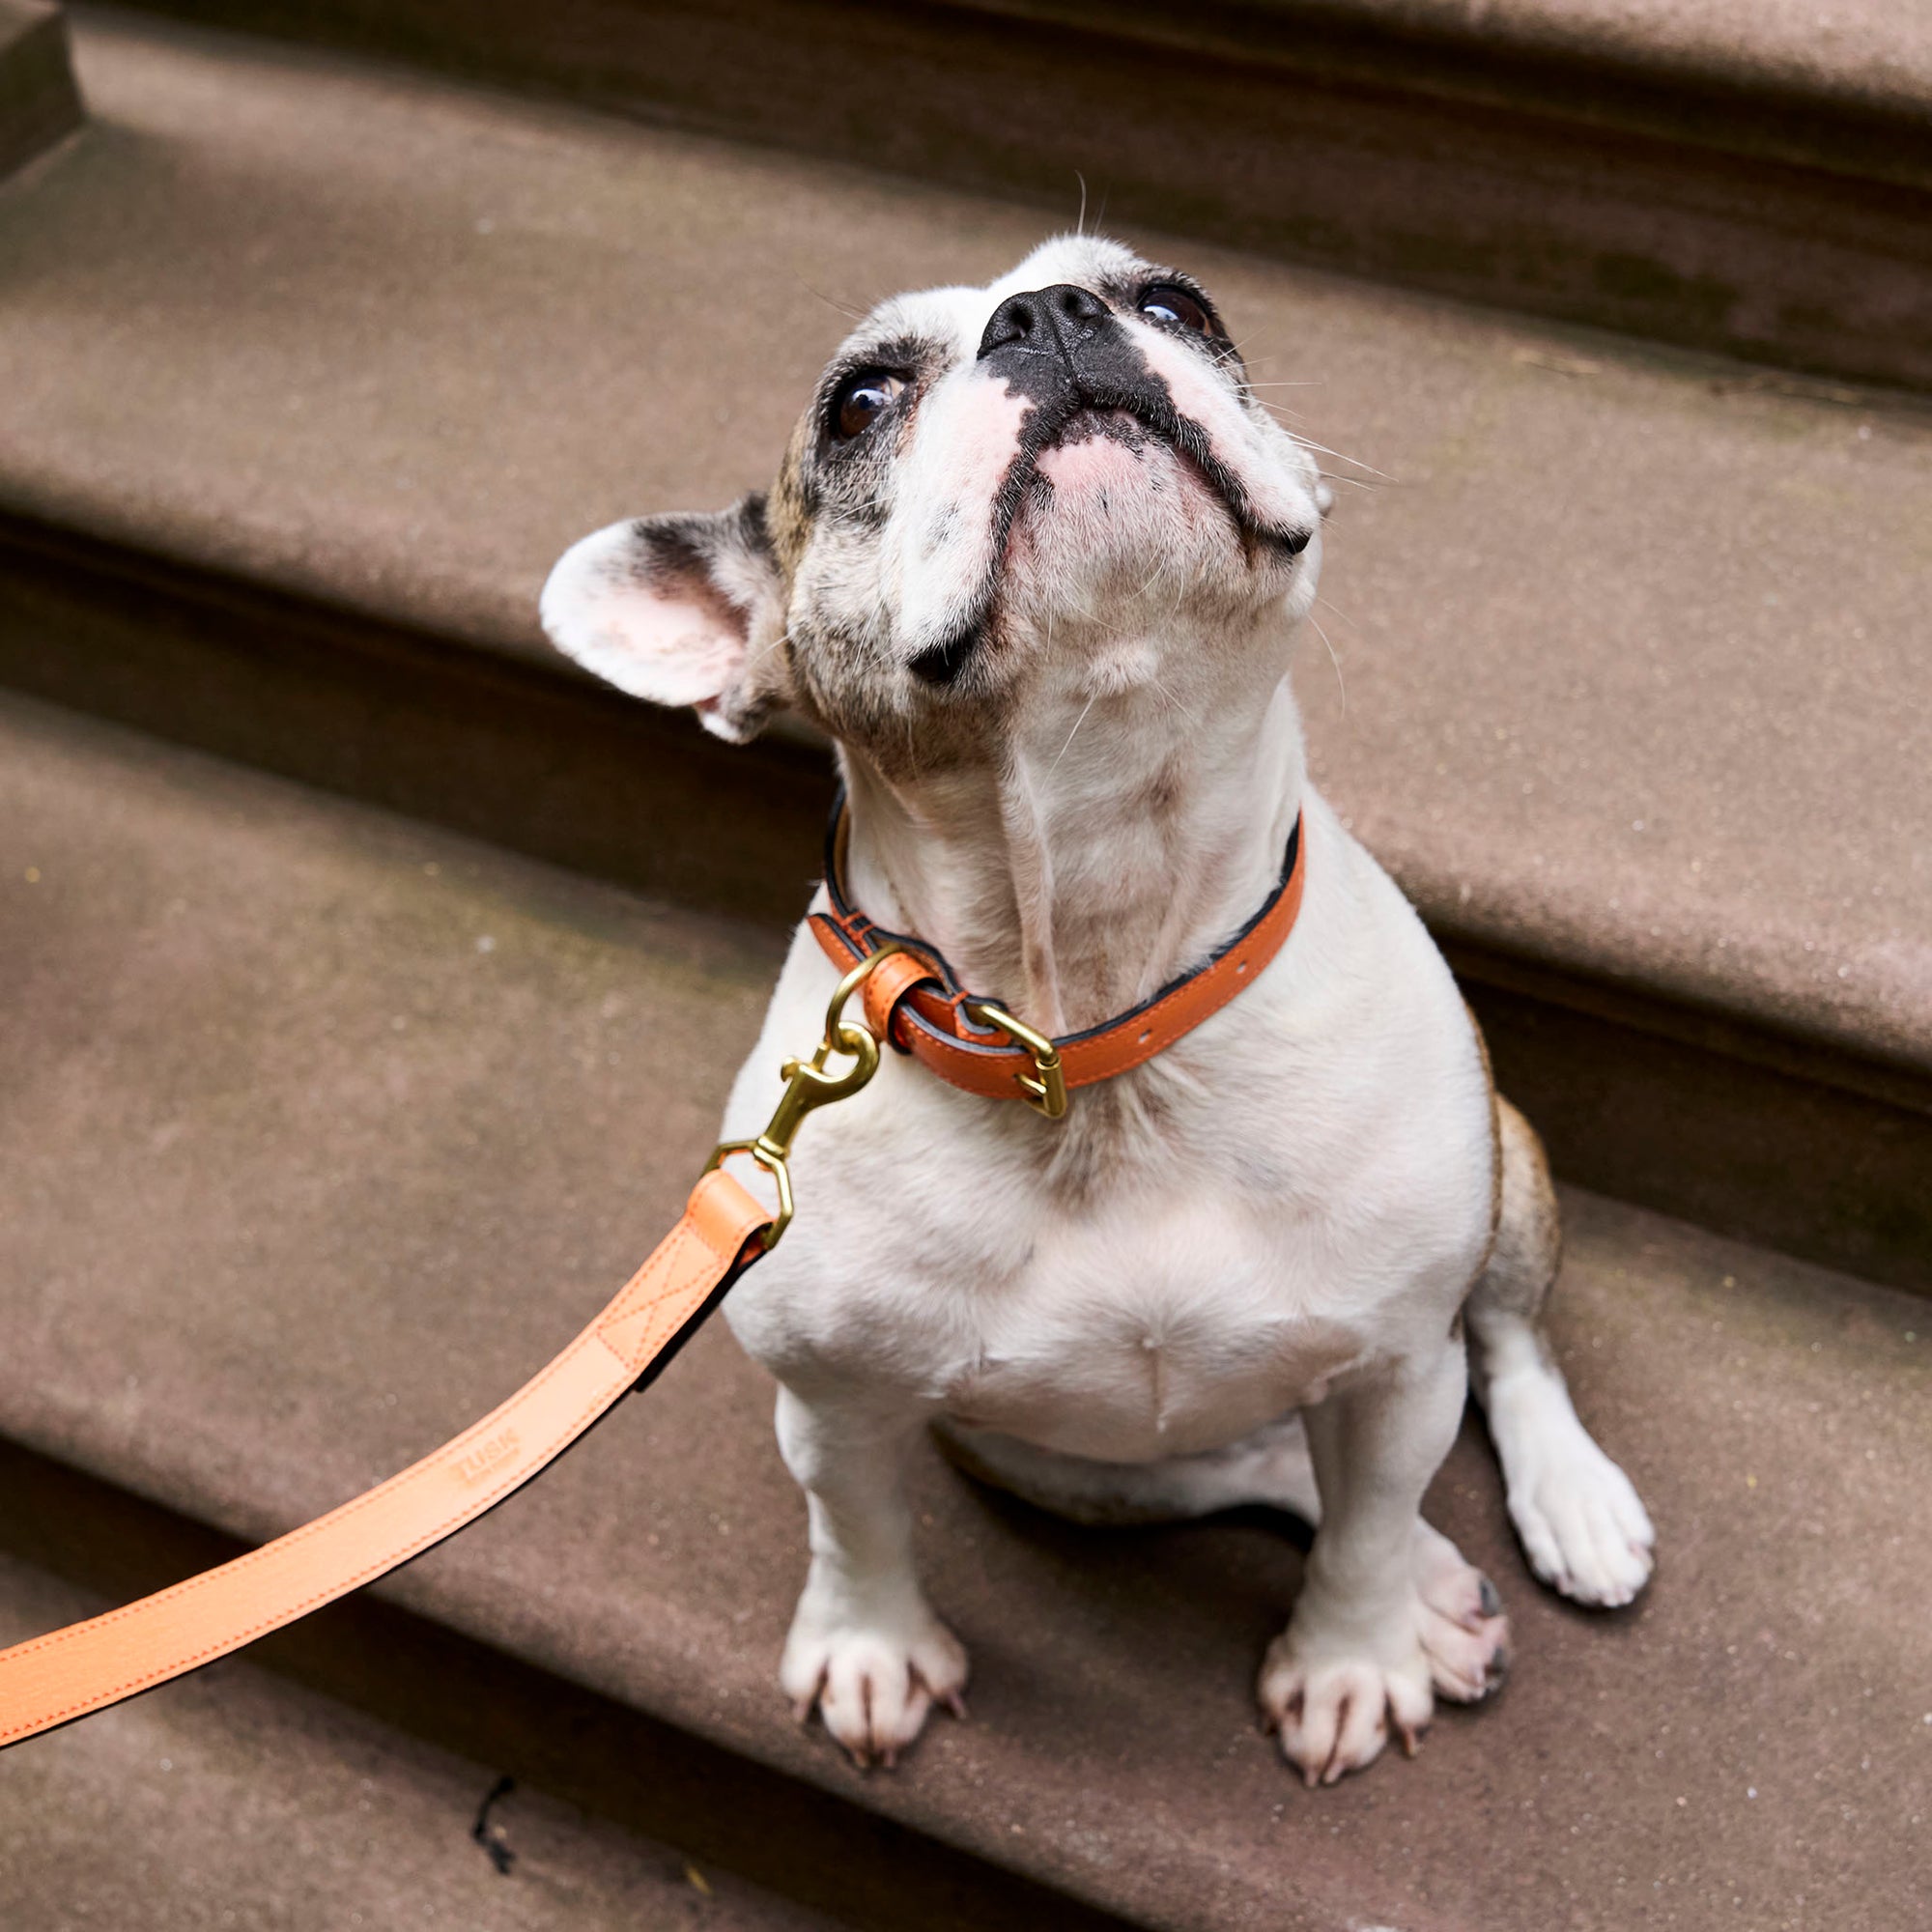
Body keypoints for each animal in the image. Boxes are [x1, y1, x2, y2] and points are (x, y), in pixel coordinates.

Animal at [537, 234, 1654, 1785]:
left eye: (1174, 302)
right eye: (859, 401)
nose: (1052, 315)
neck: (1107, 1000)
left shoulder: (1395, 1361)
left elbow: (1372, 1522)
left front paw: (1352, 1657)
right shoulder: (833, 1402)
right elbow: (856, 1523)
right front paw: (869, 1645)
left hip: (1503, 1178)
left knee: (1501, 1349)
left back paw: (1568, 1503)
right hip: (1061, 1464)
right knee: (1262, 1464)